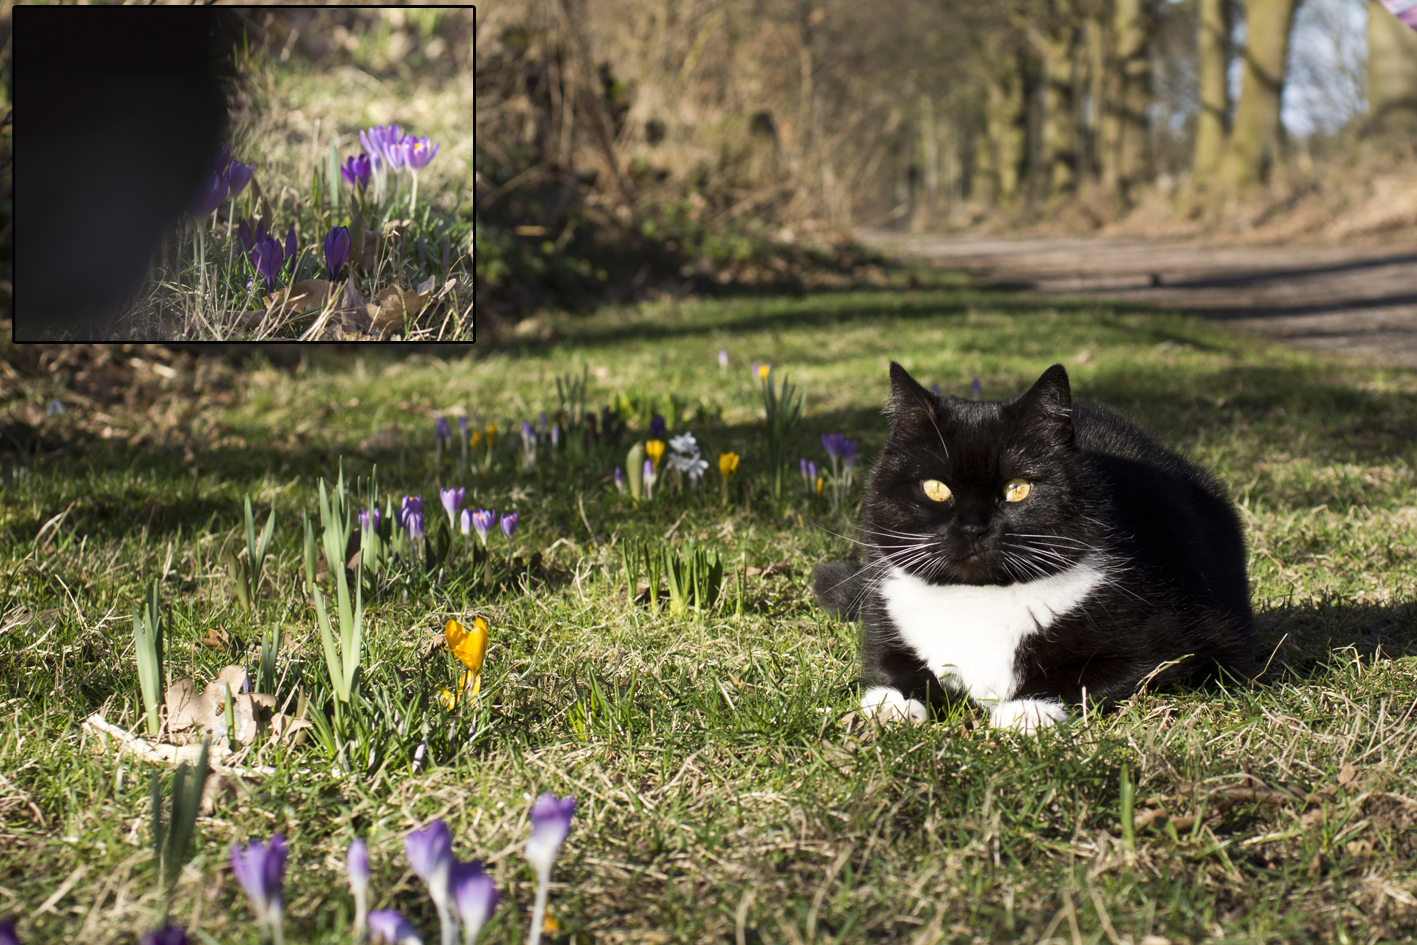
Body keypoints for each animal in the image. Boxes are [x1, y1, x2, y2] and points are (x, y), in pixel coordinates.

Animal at [816, 362, 1258, 731]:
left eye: (1018, 488)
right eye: (936, 488)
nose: (974, 528)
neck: (977, 600)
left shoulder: (1164, 639)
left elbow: (1085, 675)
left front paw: (1026, 711)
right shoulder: (884, 619)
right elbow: (891, 664)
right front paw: (895, 703)